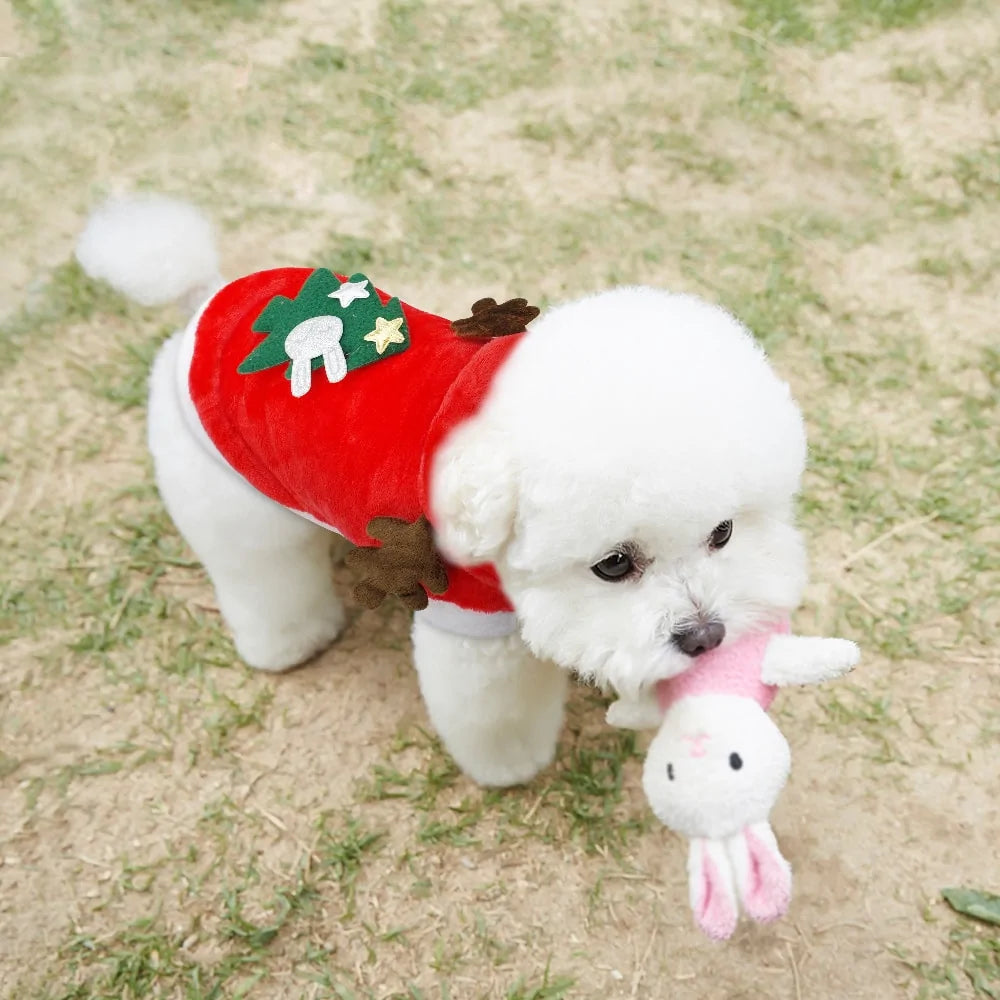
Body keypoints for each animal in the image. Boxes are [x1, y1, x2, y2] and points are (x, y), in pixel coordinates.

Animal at [80, 193, 812, 788]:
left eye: (723, 533)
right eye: (613, 564)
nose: (707, 637)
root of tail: (201, 298)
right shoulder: (470, 621)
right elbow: (493, 709)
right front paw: (513, 764)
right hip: (228, 492)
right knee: (259, 571)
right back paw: (288, 641)